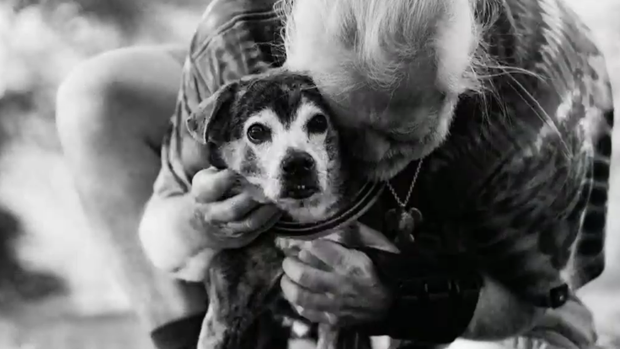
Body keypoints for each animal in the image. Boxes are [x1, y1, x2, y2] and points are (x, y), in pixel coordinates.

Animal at [185, 68, 398, 348]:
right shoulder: (223, 316)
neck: (301, 217)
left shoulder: (336, 311)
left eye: (318, 122)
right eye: (256, 132)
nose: (297, 162)